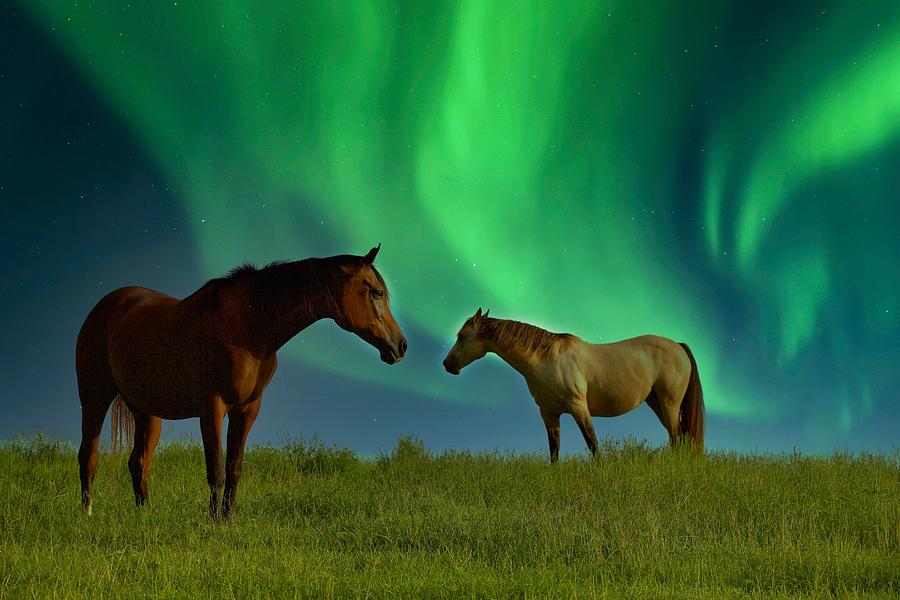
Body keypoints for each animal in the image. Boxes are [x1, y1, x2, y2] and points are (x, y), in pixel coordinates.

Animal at [77, 246, 408, 516]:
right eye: (376, 292)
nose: (401, 346)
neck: (247, 328)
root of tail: (108, 304)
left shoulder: (248, 409)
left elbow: (234, 468)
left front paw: (227, 519)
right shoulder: (212, 408)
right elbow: (216, 470)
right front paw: (212, 522)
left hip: (147, 412)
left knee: (140, 462)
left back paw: (144, 514)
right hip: (94, 398)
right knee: (89, 456)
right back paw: (87, 514)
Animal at [442, 310, 704, 460]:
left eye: (462, 336)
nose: (447, 364)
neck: (545, 358)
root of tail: (678, 346)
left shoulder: (579, 407)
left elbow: (593, 445)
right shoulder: (549, 413)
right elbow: (554, 451)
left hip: (669, 403)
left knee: (677, 436)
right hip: (656, 403)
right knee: (678, 436)